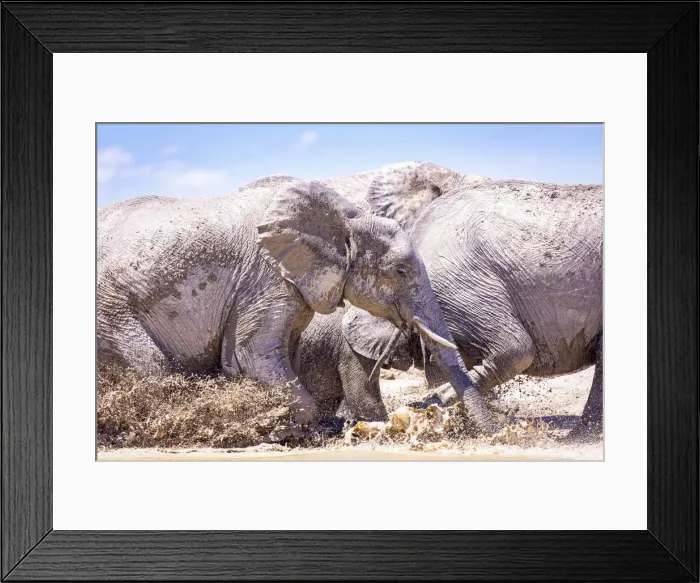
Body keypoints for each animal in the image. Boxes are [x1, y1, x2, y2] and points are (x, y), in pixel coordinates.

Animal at [97, 178, 496, 432]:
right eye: (400, 270)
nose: (493, 433)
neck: (344, 215)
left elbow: (280, 352)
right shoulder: (265, 276)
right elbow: (253, 353)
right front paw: (286, 428)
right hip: (112, 309)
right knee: (150, 367)